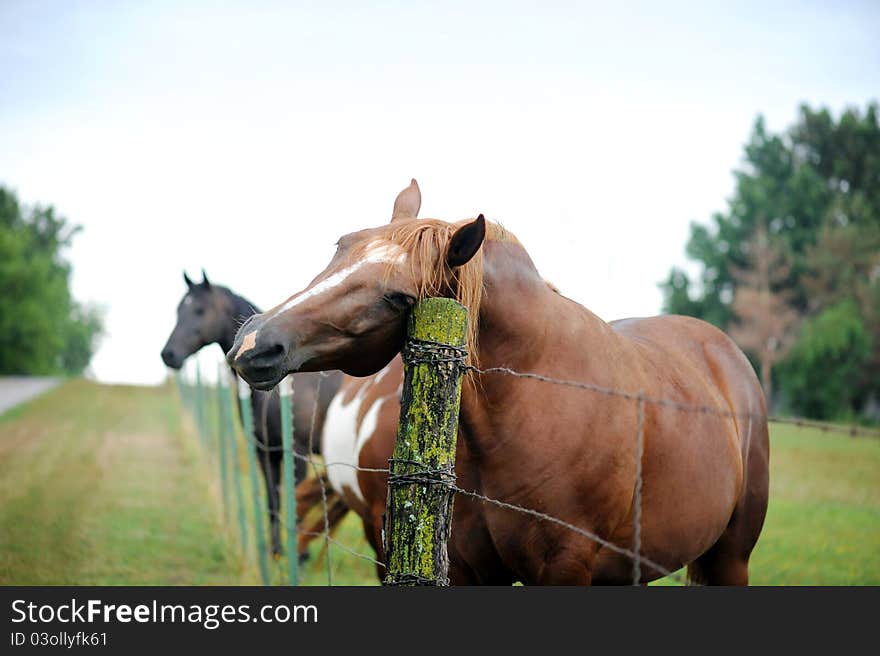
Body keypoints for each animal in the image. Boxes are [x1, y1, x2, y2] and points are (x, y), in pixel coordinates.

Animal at [162, 270, 340, 556]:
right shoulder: (265, 451)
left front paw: (300, 555)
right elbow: (273, 500)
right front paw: (276, 551)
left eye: (200, 310)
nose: (168, 355)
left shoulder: (298, 452)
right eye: (179, 309)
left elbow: (297, 505)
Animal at [229, 179, 768, 584]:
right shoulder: (471, 570)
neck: (531, 403)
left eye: (399, 298)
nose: (256, 342)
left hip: (730, 560)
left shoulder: (564, 570)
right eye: (342, 245)